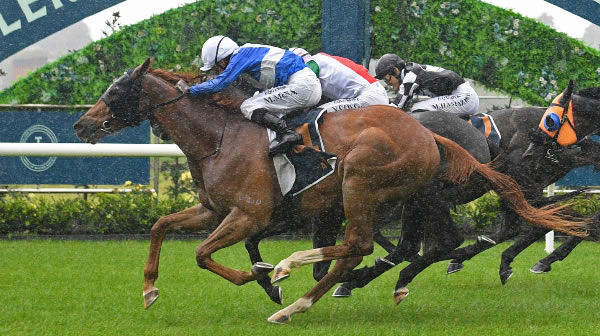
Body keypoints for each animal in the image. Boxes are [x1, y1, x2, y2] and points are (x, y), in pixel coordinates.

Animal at [71, 59, 584, 324]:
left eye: (115, 91)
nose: (81, 125)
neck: (219, 137)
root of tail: (429, 135)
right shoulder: (213, 209)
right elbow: (161, 225)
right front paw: (150, 290)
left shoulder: (250, 214)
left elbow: (204, 254)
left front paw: (259, 277)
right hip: (399, 196)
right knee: (400, 245)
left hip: (362, 181)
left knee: (361, 245)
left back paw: (296, 285)